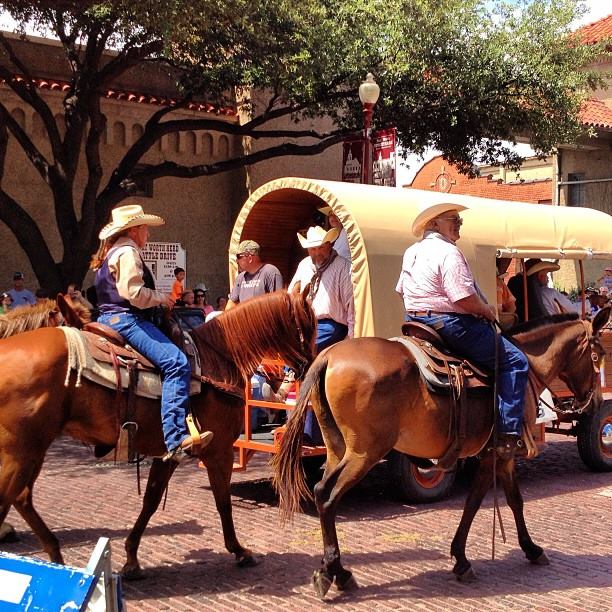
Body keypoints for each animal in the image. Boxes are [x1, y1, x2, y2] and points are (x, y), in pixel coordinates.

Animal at [0, 290, 316, 576]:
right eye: (310, 325)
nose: (312, 365)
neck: (218, 359)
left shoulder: (168, 453)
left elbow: (151, 499)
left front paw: (131, 558)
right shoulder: (220, 451)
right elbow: (223, 501)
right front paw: (239, 550)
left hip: (32, 451)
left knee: (21, 497)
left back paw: (56, 558)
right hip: (23, 452)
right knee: (12, 497)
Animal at [274, 306, 612, 596]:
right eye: (598, 354)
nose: (594, 401)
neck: (528, 365)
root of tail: (328, 356)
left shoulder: (493, 455)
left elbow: (497, 500)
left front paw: (484, 554)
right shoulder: (500, 453)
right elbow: (490, 502)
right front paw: (491, 555)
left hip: (337, 449)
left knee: (320, 491)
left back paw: (334, 570)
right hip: (363, 454)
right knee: (328, 497)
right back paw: (335, 573)